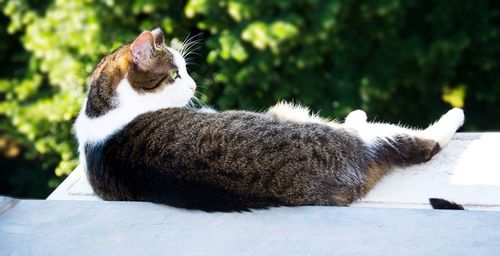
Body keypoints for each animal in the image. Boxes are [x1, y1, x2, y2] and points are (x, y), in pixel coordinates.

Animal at [75, 28, 464, 212]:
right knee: (415, 143)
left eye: (186, 70)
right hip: (344, 136)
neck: (105, 112)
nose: (194, 84)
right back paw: (450, 115)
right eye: (174, 74)